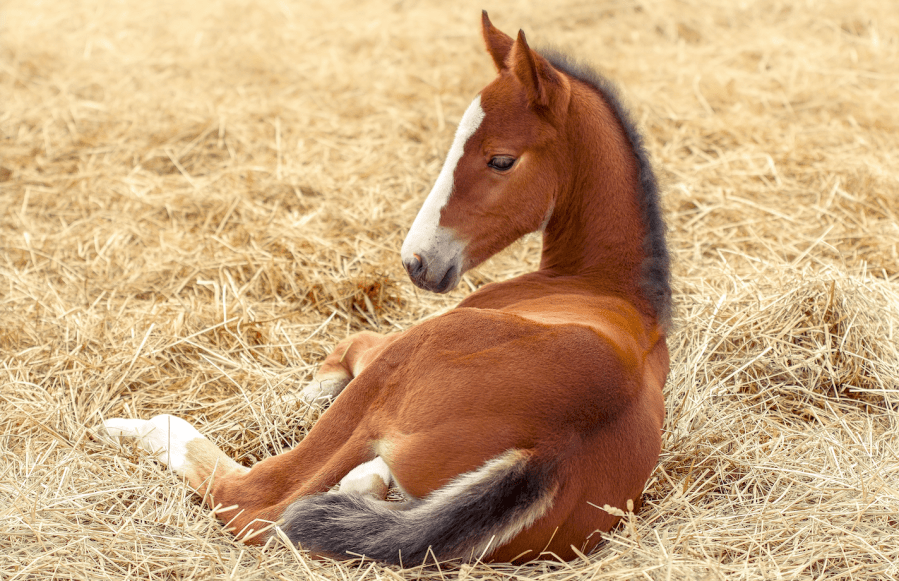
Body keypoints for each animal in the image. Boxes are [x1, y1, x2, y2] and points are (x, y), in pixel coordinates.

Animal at [102, 13, 672, 564]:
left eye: (501, 160)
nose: (417, 262)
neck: (601, 284)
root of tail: (551, 450)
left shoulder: (385, 347)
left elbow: (344, 349)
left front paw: (289, 398)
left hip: (400, 367)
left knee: (254, 501)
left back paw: (137, 427)